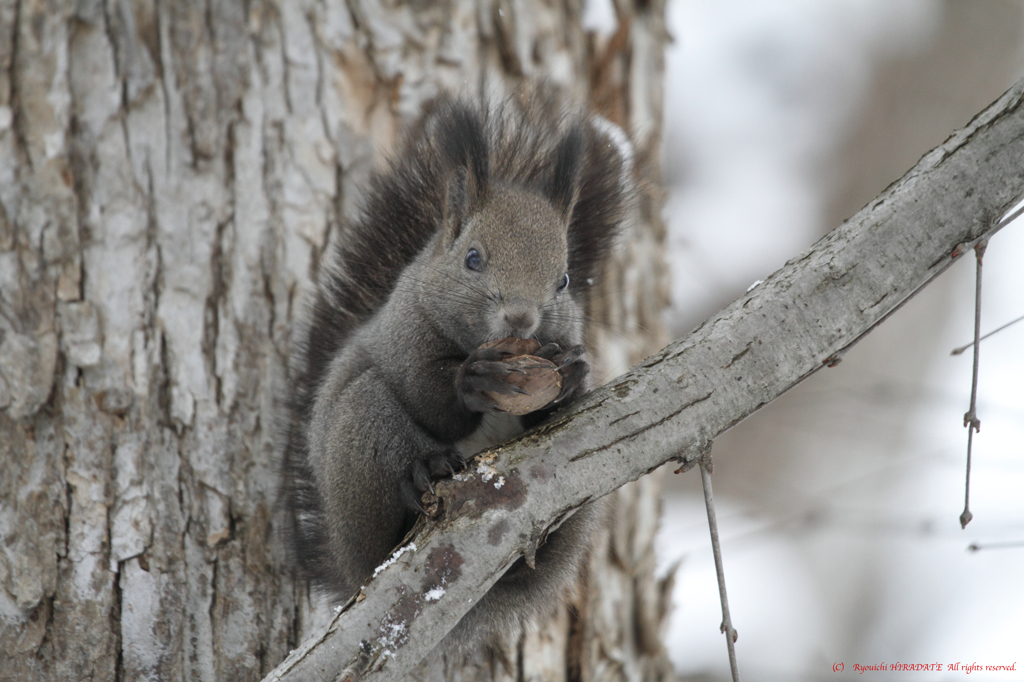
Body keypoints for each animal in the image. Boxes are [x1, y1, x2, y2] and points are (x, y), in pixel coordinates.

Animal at [282, 93, 630, 655]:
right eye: (472, 258)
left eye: (564, 280)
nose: (521, 319)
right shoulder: (403, 335)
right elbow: (428, 398)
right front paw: (470, 381)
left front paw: (572, 374)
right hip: (362, 434)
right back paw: (423, 471)